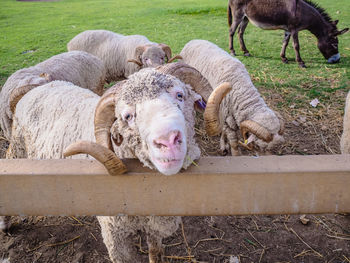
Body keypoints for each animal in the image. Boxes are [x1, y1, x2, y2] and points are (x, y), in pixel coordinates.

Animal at [6, 63, 230, 262]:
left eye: (180, 95)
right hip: (17, 146)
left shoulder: (154, 224)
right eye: (128, 116)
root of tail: (38, 87)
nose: (167, 141)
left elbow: (156, 253)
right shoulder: (114, 234)